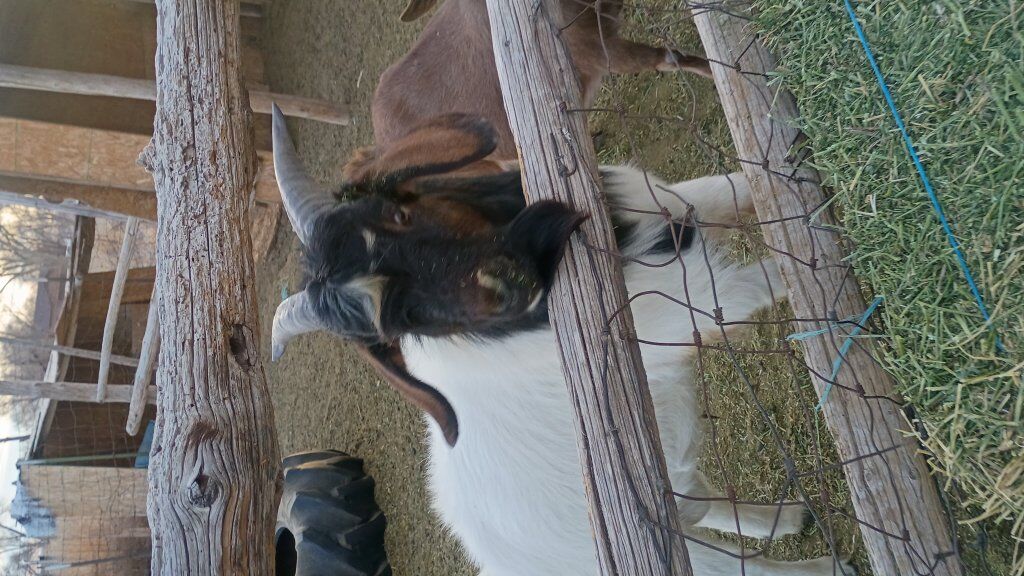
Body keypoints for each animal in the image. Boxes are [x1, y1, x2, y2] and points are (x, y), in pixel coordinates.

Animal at [269, 106, 854, 575]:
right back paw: (823, 564)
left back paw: (784, 519)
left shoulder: (665, 203)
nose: (508, 283)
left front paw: (792, 164)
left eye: (396, 213)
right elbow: (771, 278)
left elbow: (730, 189)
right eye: (401, 317)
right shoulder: (686, 308)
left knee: (696, 497)